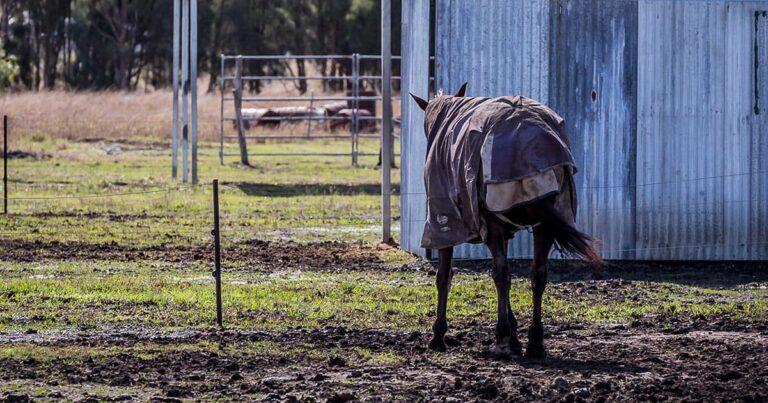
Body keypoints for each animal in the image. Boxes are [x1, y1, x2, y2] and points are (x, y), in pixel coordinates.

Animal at [410, 83, 603, 358]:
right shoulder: (506, 230)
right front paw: (515, 337)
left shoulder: (443, 222)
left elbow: (444, 277)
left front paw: (438, 335)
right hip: (544, 225)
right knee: (537, 273)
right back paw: (535, 341)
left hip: (493, 223)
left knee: (500, 273)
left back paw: (501, 338)